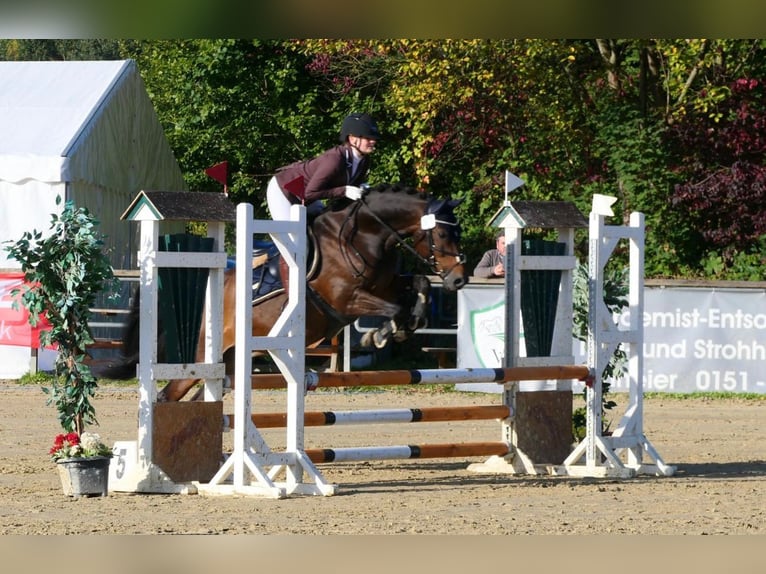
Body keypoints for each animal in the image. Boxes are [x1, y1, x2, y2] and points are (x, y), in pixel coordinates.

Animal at [96, 184, 468, 400]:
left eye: (458, 232)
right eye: (443, 235)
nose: (458, 281)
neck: (365, 235)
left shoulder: (386, 285)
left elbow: (417, 285)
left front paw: (412, 322)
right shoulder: (346, 299)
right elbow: (391, 310)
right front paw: (379, 335)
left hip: (230, 363)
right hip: (202, 356)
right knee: (168, 395)